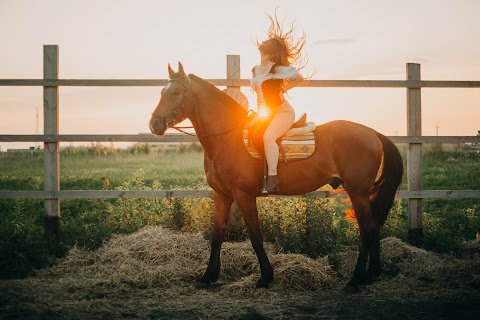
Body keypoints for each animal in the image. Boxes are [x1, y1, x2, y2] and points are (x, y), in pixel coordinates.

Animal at [150, 62, 404, 292]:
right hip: (362, 194)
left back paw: (356, 280)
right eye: (161, 92)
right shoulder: (221, 195)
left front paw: (265, 277)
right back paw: (371, 274)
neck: (228, 137)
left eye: (175, 92)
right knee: (374, 227)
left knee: (367, 229)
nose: (154, 124)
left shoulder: (244, 196)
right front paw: (208, 276)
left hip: (357, 192)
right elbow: (217, 235)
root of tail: (373, 133)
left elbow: (255, 236)